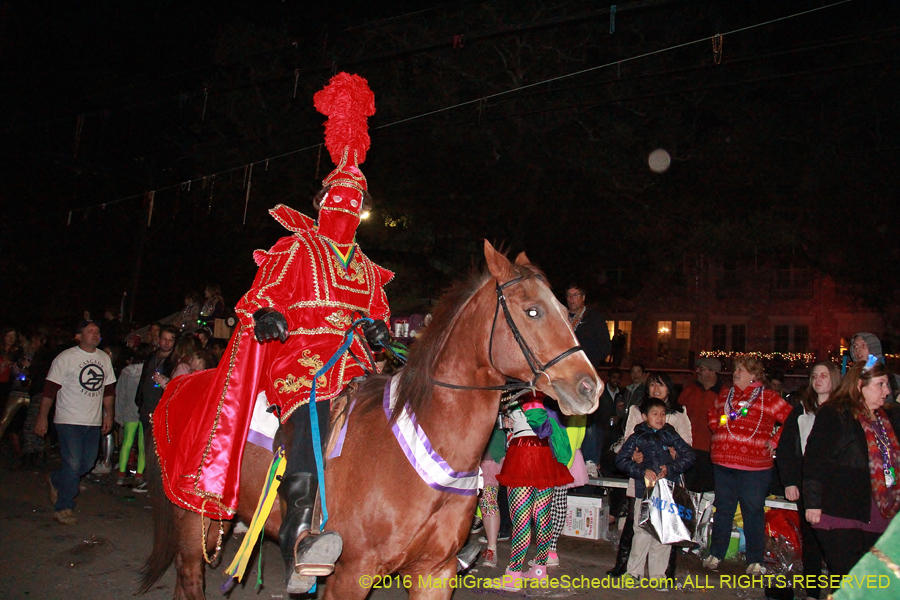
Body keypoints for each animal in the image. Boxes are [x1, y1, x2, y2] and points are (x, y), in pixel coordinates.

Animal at [141, 241, 600, 600]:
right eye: (533, 311)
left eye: (566, 310)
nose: (589, 387)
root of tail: (179, 385)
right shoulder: (351, 574)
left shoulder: (435, 572)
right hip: (191, 517)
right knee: (190, 580)